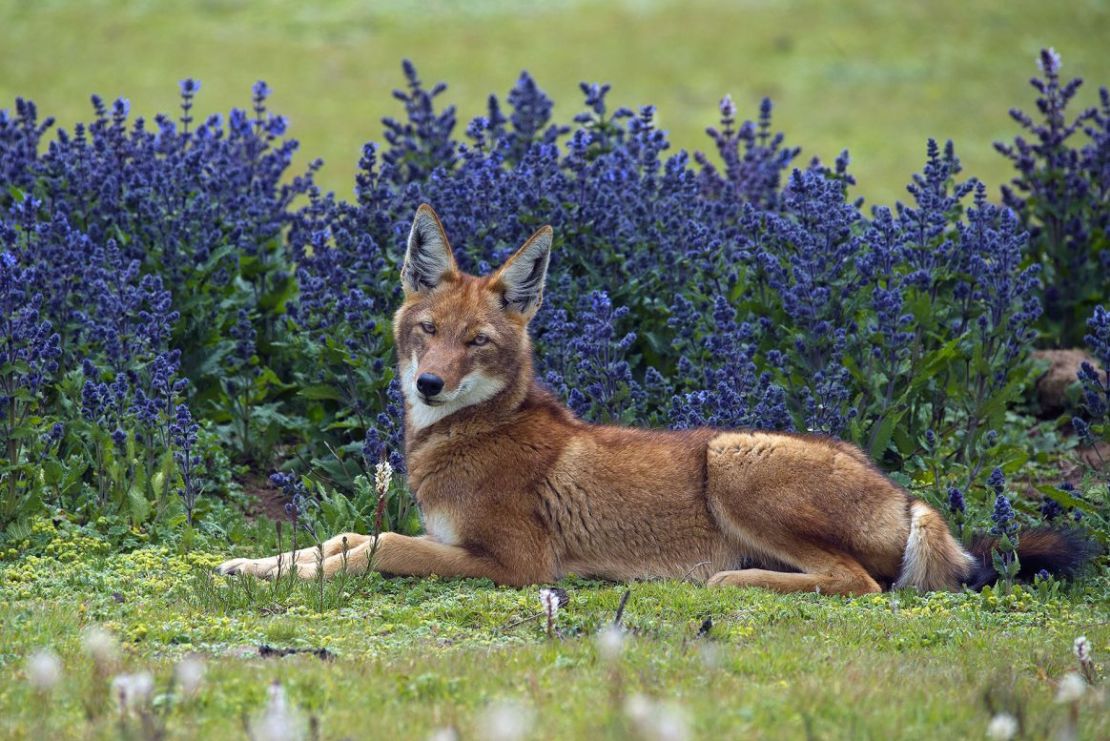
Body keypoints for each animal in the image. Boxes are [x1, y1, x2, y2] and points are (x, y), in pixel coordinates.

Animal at [218, 204, 1092, 594]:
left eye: (477, 342)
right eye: (426, 331)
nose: (429, 384)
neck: (465, 434)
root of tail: (903, 494)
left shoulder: (515, 563)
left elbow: (374, 548)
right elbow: (338, 538)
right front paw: (250, 565)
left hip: (731, 458)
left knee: (857, 582)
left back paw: (733, 582)